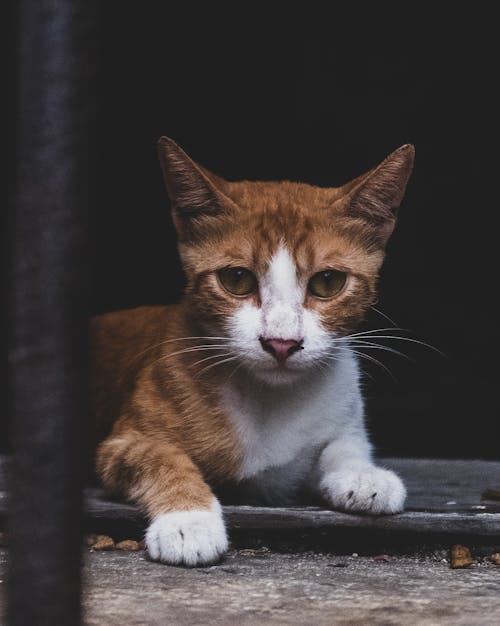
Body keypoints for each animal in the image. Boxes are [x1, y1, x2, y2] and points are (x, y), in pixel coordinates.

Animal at [90, 138, 414, 564]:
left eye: (328, 282)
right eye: (237, 279)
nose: (281, 342)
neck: (270, 399)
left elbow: (343, 446)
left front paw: (363, 474)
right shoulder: (122, 443)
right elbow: (160, 458)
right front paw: (188, 519)